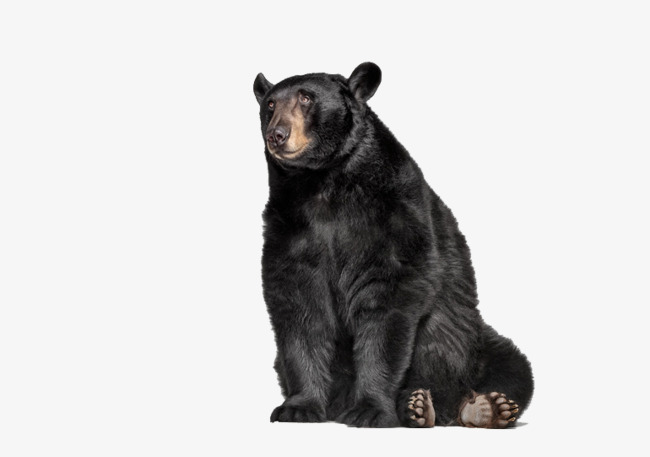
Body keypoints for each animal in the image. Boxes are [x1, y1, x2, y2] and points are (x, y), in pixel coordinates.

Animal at [253, 62, 534, 428]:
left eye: (306, 98)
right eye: (270, 104)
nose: (277, 134)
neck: (323, 183)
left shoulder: (394, 216)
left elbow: (389, 301)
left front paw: (370, 409)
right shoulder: (290, 226)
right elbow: (300, 308)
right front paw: (297, 407)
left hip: (472, 344)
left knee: (509, 368)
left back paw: (474, 407)